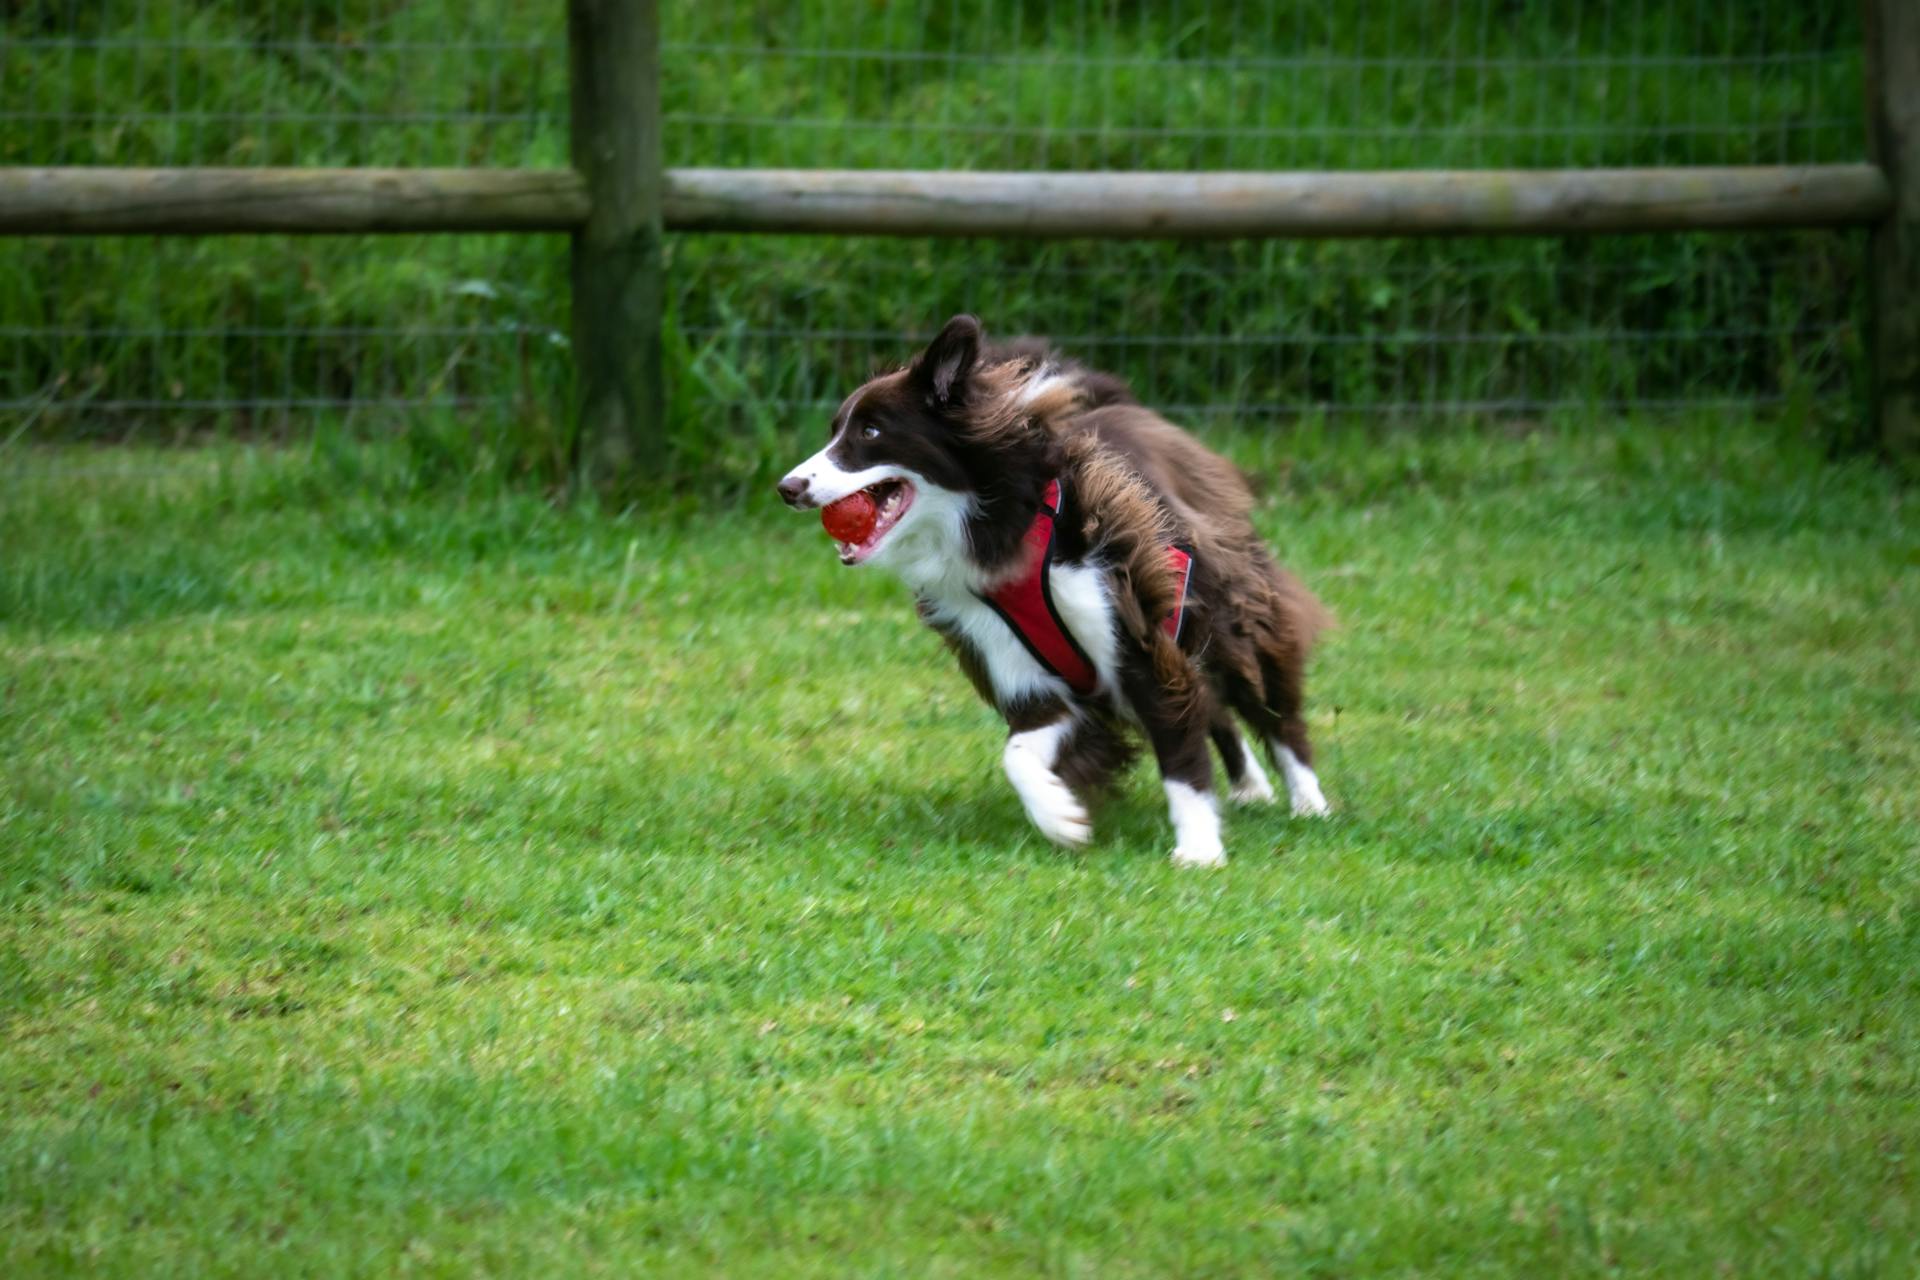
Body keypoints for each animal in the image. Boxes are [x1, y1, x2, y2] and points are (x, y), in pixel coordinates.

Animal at [771, 314, 1328, 867]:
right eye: (835, 431)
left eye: (871, 431)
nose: (788, 488)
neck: (995, 530)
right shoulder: (1013, 656)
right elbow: (1019, 750)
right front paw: (1062, 817)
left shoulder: (1124, 613)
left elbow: (1173, 729)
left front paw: (1198, 848)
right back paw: (1251, 785)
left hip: (1222, 591)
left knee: (1262, 690)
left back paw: (1308, 801)